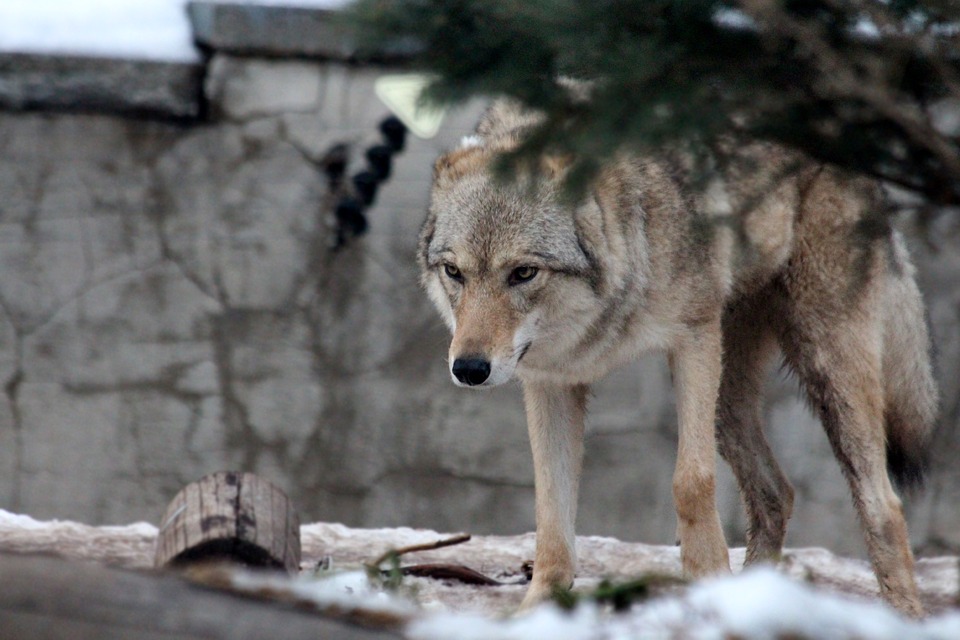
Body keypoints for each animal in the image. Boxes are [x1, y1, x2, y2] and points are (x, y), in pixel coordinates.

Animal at [418, 99, 938, 616]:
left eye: (524, 273)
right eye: (454, 272)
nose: (469, 369)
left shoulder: (693, 340)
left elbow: (691, 483)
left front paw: (708, 583)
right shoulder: (552, 380)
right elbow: (551, 510)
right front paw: (538, 610)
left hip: (823, 365)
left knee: (884, 505)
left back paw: (902, 614)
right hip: (730, 400)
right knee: (777, 492)